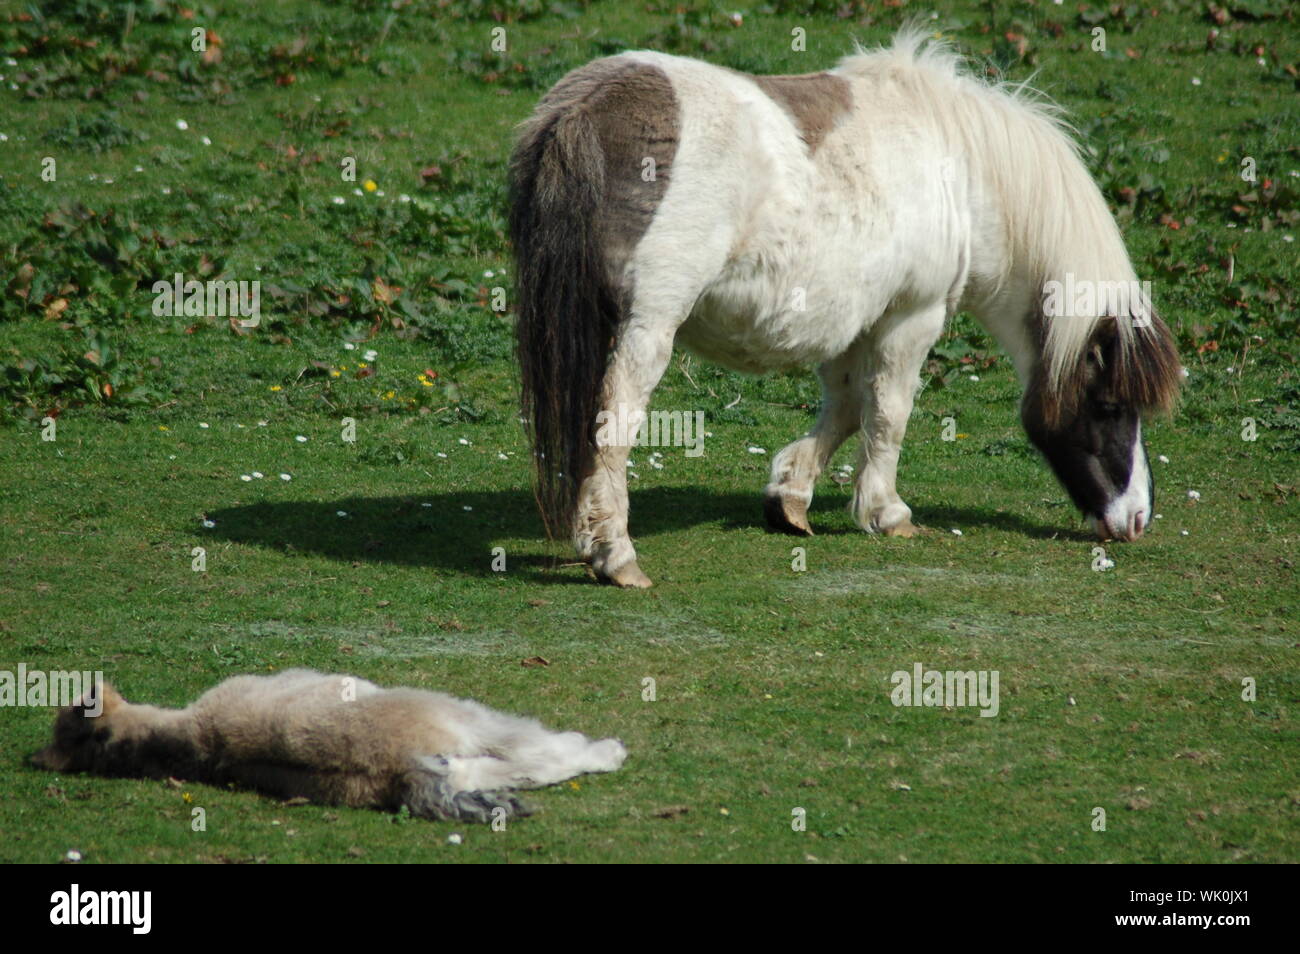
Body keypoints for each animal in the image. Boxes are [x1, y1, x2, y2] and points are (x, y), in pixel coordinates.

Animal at [508, 29, 1181, 588]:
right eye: (1111, 406)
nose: (1136, 518)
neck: (961, 172)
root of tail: (581, 110)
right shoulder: (912, 316)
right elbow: (887, 413)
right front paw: (886, 512)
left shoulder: (855, 319)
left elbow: (847, 407)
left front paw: (790, 496)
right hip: (647, 328)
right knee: (613, 426)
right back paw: (614, 555)